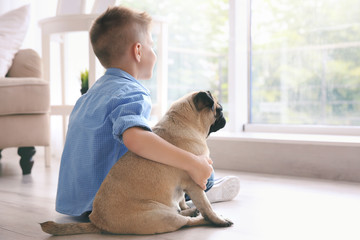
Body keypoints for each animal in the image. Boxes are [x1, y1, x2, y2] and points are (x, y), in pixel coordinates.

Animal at [41, 91, 233, 235]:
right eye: (219, 109)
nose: (225, 116)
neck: (183, 122)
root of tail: (98, 223)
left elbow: (182, 201)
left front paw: (188, 206)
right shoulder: (195, 184)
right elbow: (207, 206)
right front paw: (217, 219)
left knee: (179, 210)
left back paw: (191, 211)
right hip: (162, 216)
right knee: (185, 221)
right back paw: (204, 219)